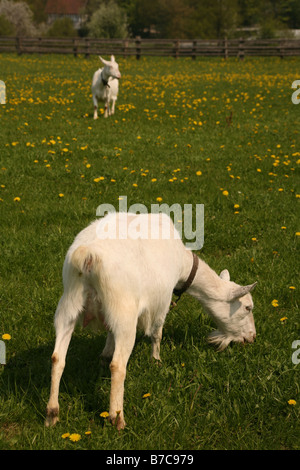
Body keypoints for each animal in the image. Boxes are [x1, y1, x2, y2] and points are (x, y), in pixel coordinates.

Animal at [45, 212, 256, 430]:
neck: (183, 262)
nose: (252, 337)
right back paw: (117, 418)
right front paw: (156, 360)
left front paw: (104, 355)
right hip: (124, 313)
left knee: (57, 358)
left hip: (68, 306)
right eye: (248, 307)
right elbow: (157, 333)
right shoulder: (161, 300)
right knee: (118, 365)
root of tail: (87, 256)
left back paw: (52, 413)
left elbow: (109, 335)